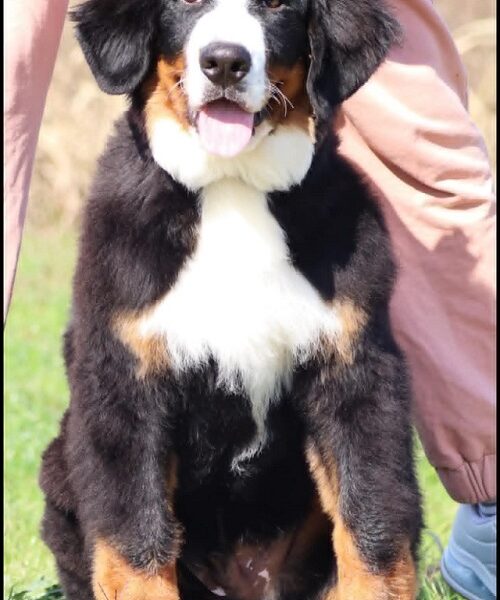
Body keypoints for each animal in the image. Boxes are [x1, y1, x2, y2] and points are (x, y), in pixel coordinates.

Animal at [39, 0, 424, 596]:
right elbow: (136, 540)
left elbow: (371, 523)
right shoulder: (124, 386)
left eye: (278, 7)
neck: (233, 186)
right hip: (61, 463)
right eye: (183, 4)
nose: (224, 62)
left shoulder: (356, 372)